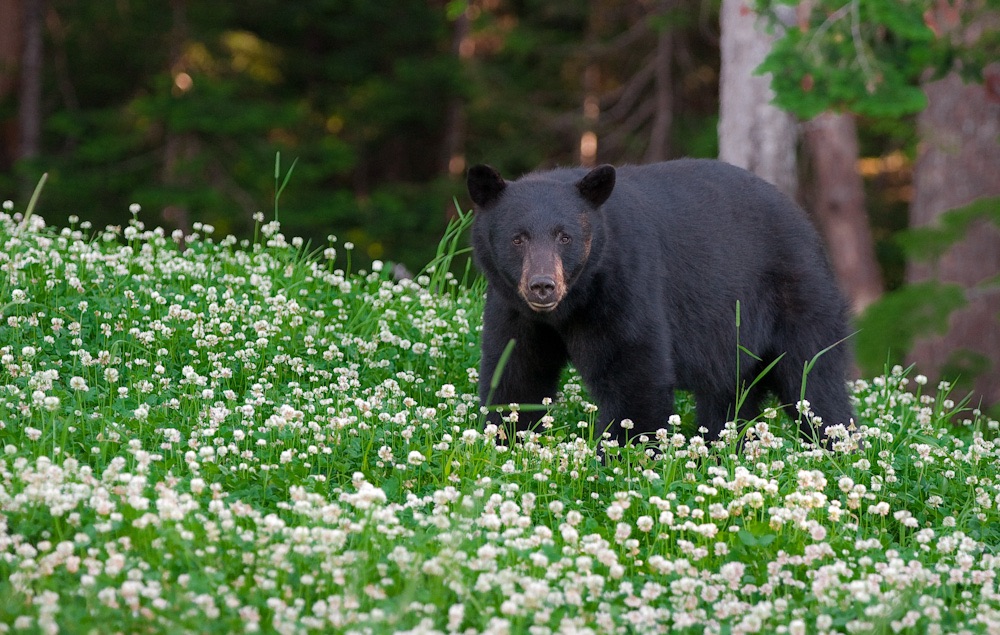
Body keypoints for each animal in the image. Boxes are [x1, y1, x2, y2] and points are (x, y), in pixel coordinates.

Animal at [466, 159, 852, 448]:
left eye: (565, 237)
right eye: (518, 238)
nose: (543, 285)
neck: (570, 306)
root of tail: (805, 220)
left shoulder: (626, 284)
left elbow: (635, 375)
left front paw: (618, 462)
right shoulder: (513, 309)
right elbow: (517, 377)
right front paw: (506, 441)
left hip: (796, 298)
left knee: (816, 385)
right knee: (729, 400)